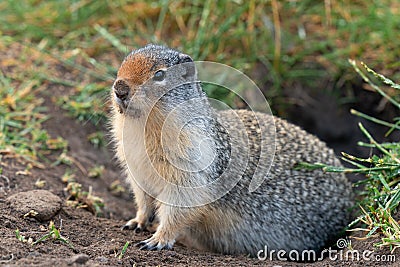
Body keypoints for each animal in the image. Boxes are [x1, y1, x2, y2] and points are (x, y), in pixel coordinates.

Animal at [109, 44, 354, 258]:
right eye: (123, 63)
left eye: (159, 74)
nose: (120, 88)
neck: (143, 127)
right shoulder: (136, 169)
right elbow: (143, 199)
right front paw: (137, 222)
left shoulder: (191, 167)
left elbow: (180, 206)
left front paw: (158, 239)